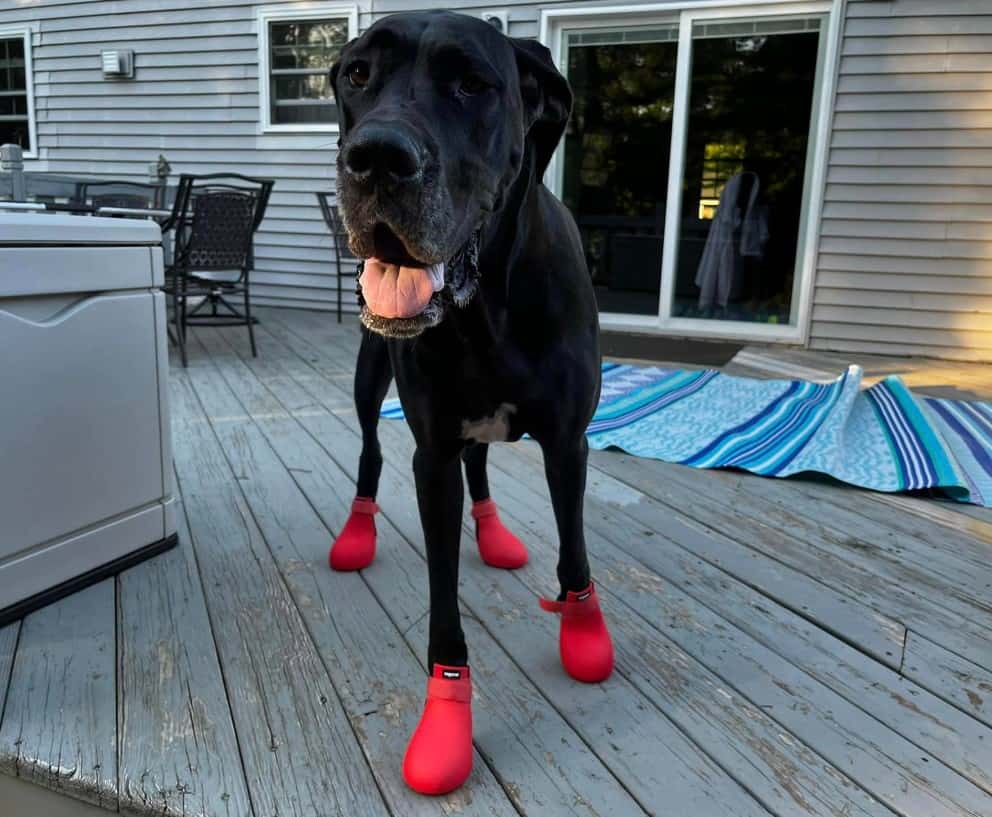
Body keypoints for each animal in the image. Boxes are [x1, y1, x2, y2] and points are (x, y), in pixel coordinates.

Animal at [334, 9, 612, 792]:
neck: (488, 302)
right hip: (370, 379)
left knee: (481, 462)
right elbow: (442, 599)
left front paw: (584, 630)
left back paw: (492, 532)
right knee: (371, 452)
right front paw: (447, 716)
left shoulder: (568, 441)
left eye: (471, 85)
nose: (377, 158)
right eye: (356, 74)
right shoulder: (430, 455)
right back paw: (357, 530)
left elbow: (574, 548)